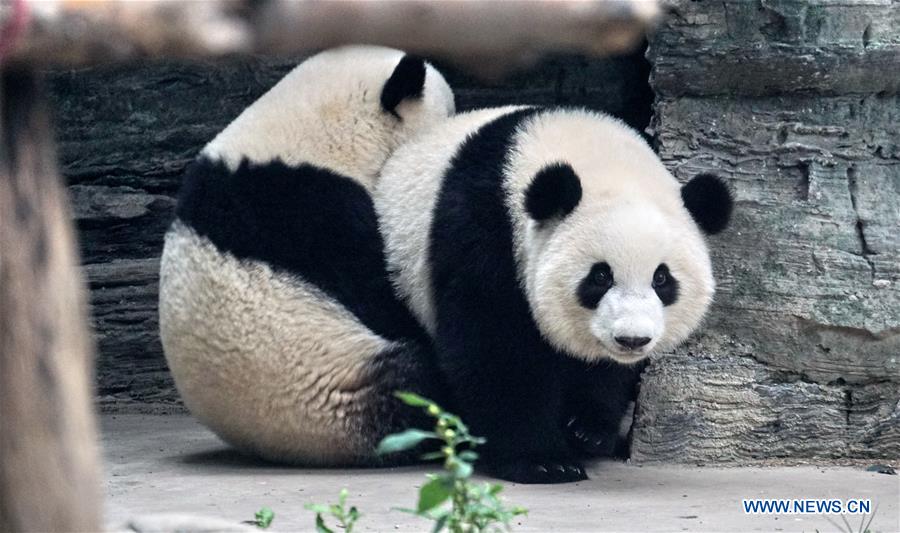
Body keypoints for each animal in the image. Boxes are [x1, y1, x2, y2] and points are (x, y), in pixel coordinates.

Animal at [372, 106, 732, 484]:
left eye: (661, 278)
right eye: (600, 276)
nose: (631, 340)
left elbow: (605, 371)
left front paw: (587, 429)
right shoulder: (483, 233)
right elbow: (495, 348)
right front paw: (543, 461)